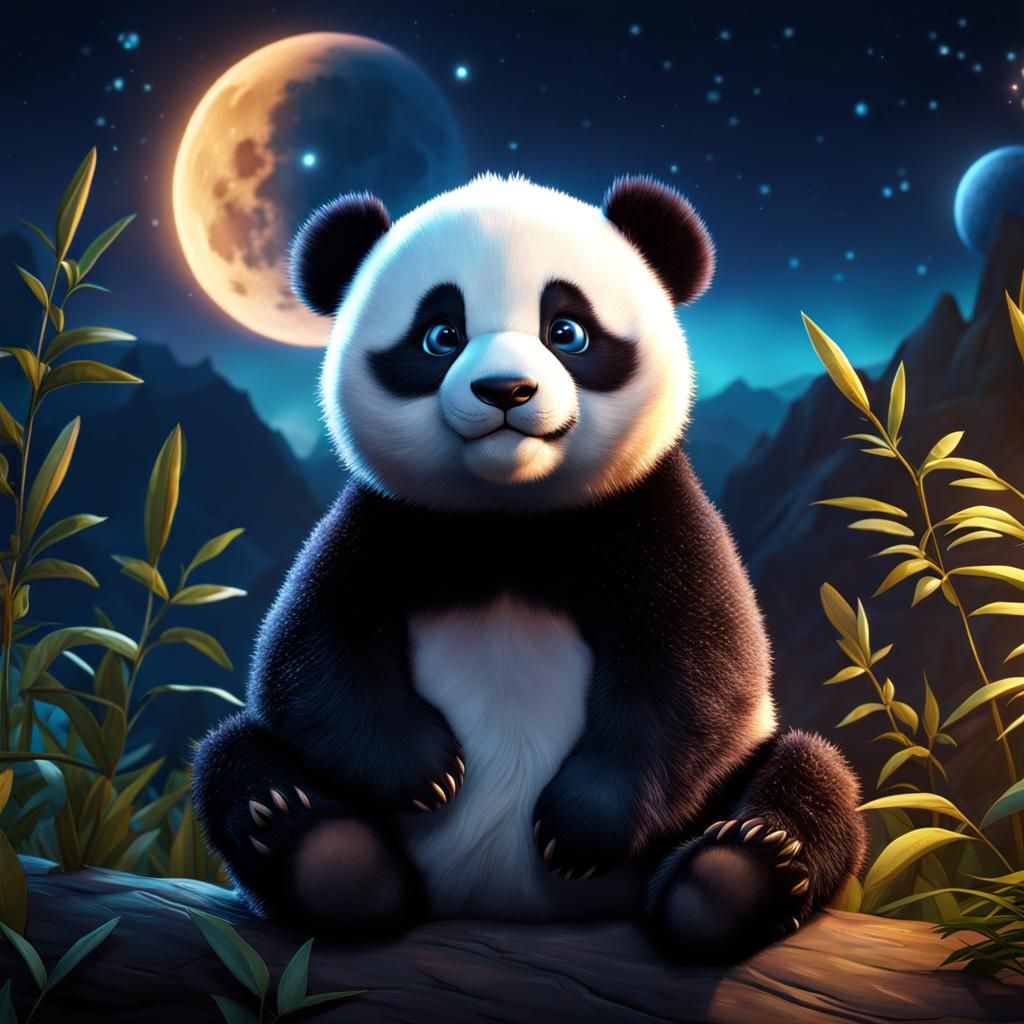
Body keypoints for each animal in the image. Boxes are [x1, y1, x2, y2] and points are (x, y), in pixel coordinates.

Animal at [192, 173, 866, 963]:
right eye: (442, 335)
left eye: (566, 331)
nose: (506, 390)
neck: (511, 521)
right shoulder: (386, 521)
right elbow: (308, 653)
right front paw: (426, 771)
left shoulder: (650, 511)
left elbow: (700, 669)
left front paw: (579, 827)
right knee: (233, 757)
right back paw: (320, 849)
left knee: (810, 774)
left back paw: (735, 874)